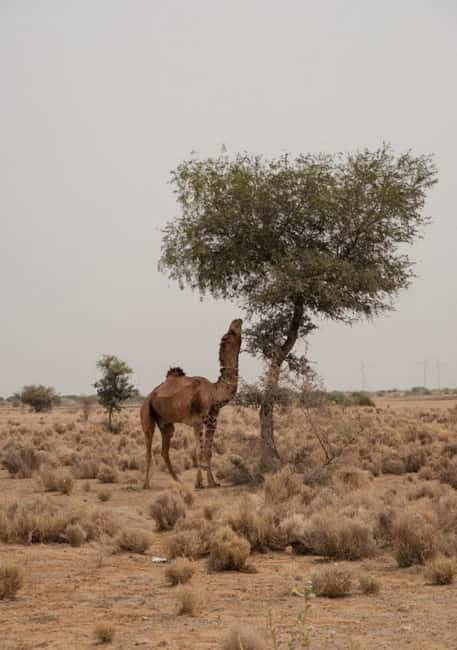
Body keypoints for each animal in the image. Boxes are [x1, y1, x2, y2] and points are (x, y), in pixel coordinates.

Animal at [140, 318, 242, 489]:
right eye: (231, 332)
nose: (238, 320)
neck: (214, 393)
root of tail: (149, 396)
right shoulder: (197, 421)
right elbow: (199, 451)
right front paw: (198, 483)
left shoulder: (213, 421)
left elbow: (208, 451)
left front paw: (213, 482)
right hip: (147, 414)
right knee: (148, 449)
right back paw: (146, 484)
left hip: (166, 423)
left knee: (164, 450)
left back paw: (178, 481)